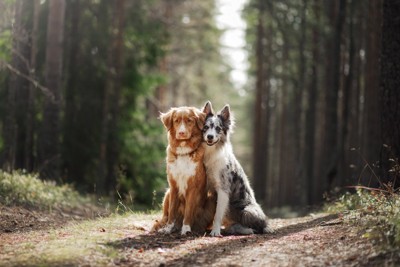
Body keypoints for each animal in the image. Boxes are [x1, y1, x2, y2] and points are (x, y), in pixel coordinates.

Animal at [152, 105, 216, 236]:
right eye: (176, 121)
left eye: (189, 121)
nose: (181, 133)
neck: (183, 152)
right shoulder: (173, 186)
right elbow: (172, 211)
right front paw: (168, 228)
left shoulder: (192, 187)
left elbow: (188, 210)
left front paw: (186, 229)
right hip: (167, 193)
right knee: (164, 217)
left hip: (211, 198)